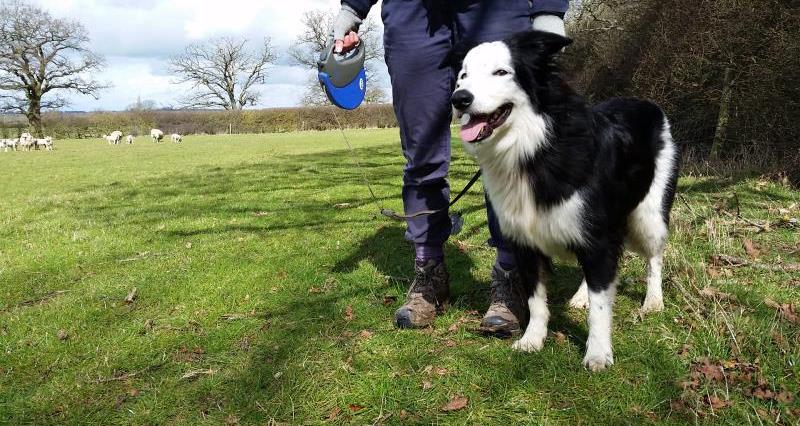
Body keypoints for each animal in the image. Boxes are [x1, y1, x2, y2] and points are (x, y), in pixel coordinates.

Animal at [454, 30, 680, 370]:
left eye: (501, 72)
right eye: (463, 76)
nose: (459, 99)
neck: (534, 147)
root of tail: (649, 106)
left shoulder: (599, 236)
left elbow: (601, 306)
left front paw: (598, 353)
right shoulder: (525, 244)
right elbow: (536, 300)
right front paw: (532, 340)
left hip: (648, 215)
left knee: (654, 258)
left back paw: (653, 301)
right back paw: (581, 296)